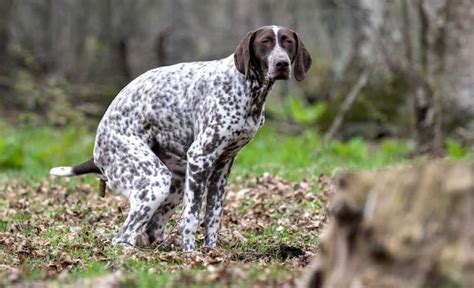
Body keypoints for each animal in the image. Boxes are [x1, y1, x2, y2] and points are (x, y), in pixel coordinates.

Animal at [51, 25, 312, 252]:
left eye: (287, 43)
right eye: (265, 42)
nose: (282, 63)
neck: (247, 89)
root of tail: (97, 151)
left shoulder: (222, 167)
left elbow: (213, 216)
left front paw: (210, 252)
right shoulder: (200, 158)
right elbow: (191, 217)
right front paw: (191, 254)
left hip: (175, 181)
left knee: (151, 230)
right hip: (155, 181)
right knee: (123, 237)